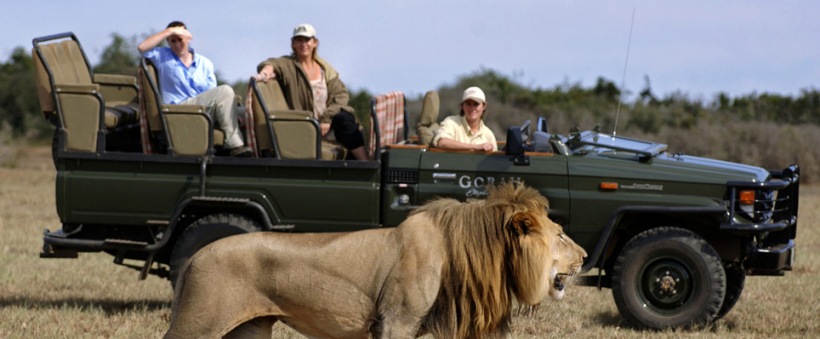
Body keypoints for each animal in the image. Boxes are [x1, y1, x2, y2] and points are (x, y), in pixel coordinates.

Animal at [163, 185, 588, 338]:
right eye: (560, 235)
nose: (585, 257)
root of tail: (195, 256)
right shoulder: (395, 322)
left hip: (248, 330)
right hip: (198, 324)